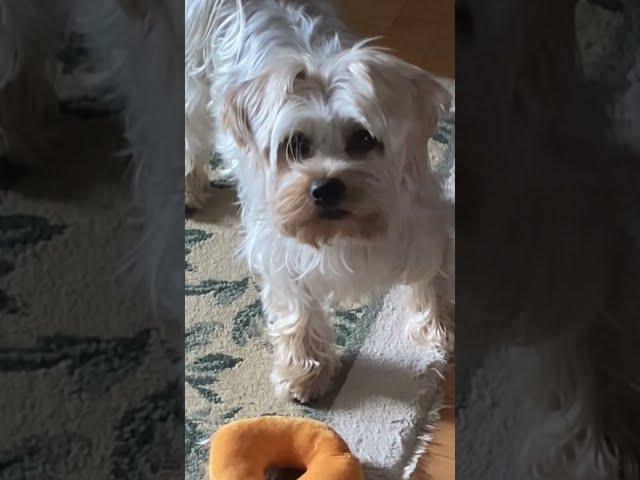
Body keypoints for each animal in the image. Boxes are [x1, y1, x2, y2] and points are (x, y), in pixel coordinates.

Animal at [185, 0, 456, 404]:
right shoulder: (280, 251)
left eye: (362, 138)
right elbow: (298, 310)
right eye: (295, 144)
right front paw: (304, 371)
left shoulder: (424, 224)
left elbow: (433, 279)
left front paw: (440, 330)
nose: (326, 188)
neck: (346, 232)